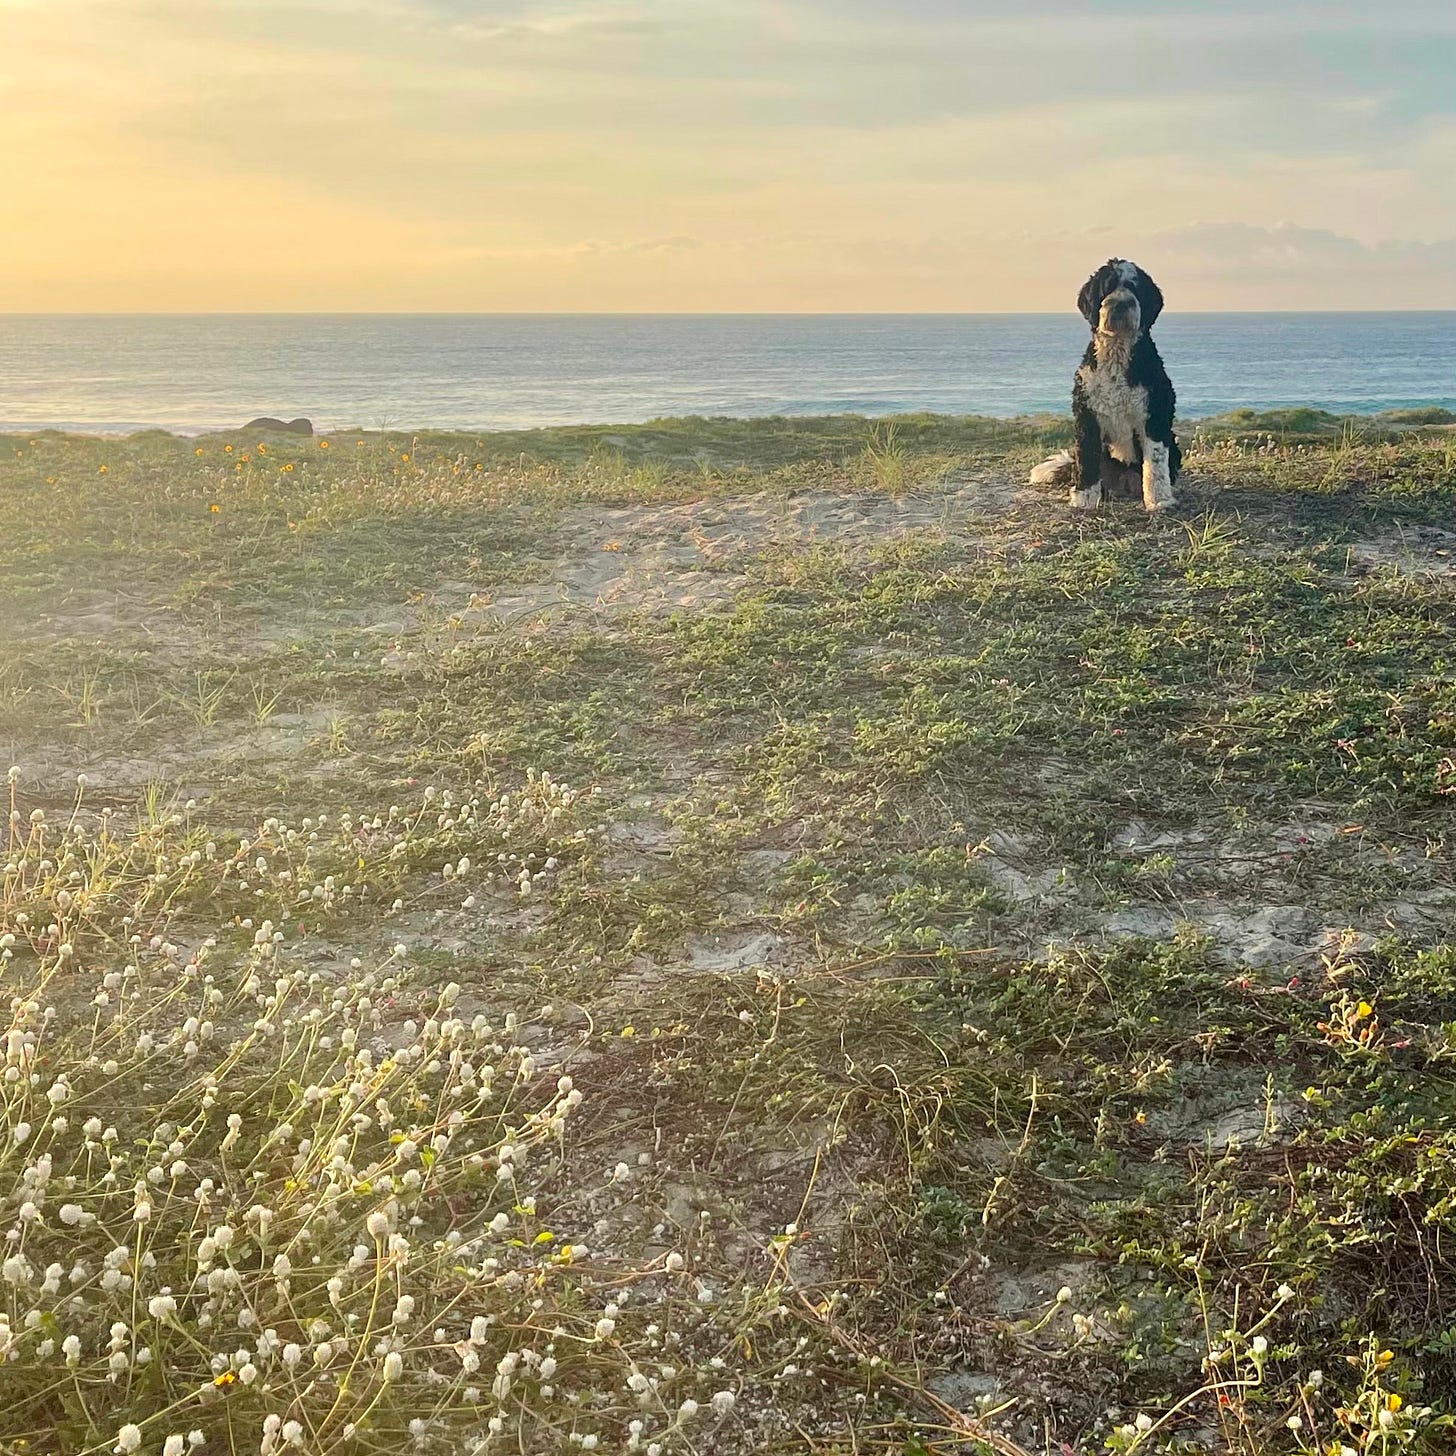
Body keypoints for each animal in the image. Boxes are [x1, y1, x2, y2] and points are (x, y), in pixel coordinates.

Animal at [1029, 259, 1181, 512]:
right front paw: (1084, 499)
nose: (1120, 304)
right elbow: (1087, 457)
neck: (1116, 354)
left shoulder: (1154, 414)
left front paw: (1159, 499)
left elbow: (1156, 463)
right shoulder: (1087, 415)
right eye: (1107, 287)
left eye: (1135, 287)